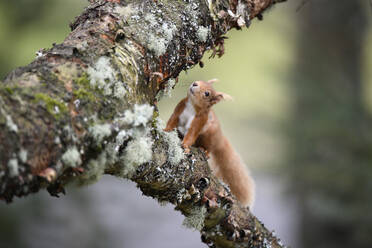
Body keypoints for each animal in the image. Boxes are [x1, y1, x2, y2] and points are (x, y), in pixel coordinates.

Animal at [166, 79, 256, 207]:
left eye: (207, 93)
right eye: (199, 81)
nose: (195, 84)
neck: (191, 107)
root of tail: (219, 138)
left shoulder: (199, 121)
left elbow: (191, 135)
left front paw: (185, 146)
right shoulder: (179, 110)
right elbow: (171, 122)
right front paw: (165, 130)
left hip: (209, 136)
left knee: (209, 147)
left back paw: (205, 151)